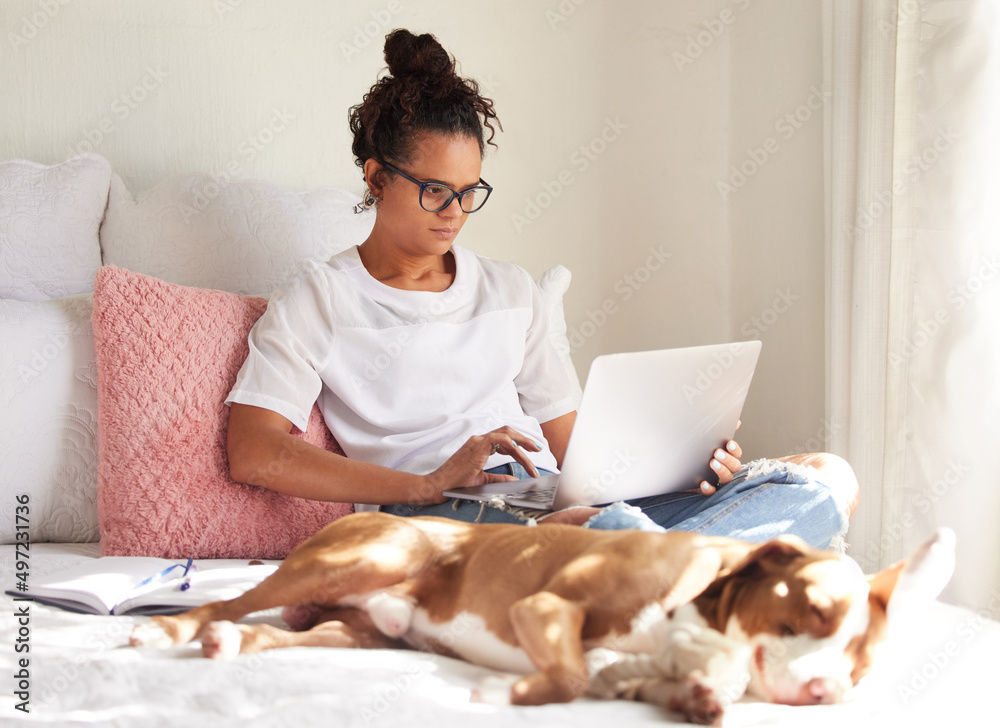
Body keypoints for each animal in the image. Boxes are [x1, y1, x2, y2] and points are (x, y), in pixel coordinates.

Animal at [131, 512, 952, 724]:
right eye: (809, 611)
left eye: (861, 670)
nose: (824, 693)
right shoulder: (546, 605)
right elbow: (568, 676)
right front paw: (511, 693)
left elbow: (630, 681)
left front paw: (699, 698)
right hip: (375, 553)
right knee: (234, 598)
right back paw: (168, 627)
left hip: (359, 628)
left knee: (273, 630)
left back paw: (224, 642)